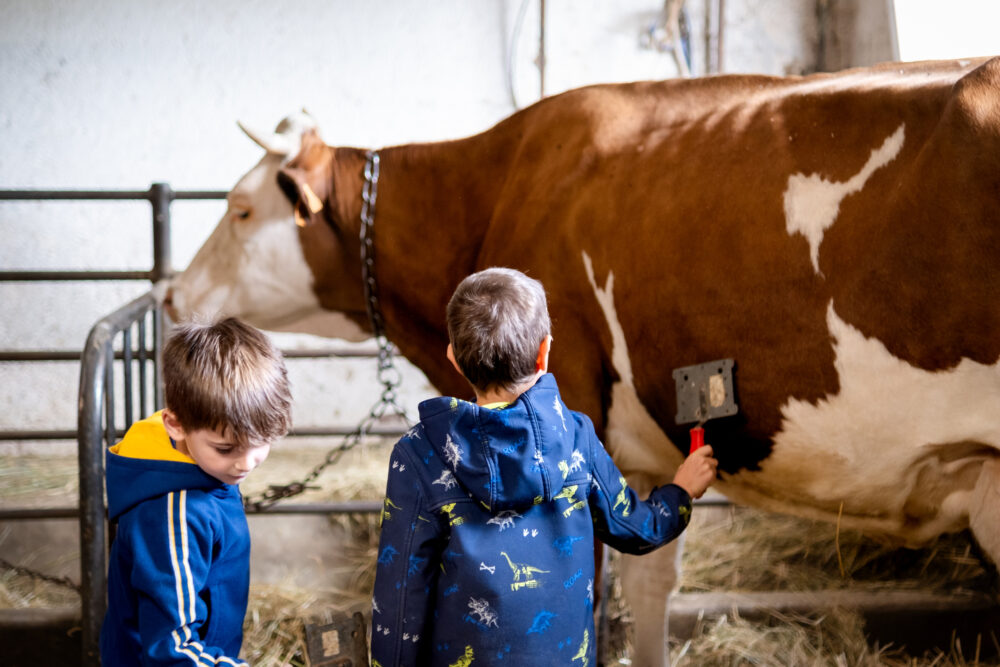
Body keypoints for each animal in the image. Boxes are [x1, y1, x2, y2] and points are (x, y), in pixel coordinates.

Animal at [166, 57, 1000, 666]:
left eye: (240, 209)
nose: (172, 294)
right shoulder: (641, 454)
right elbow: (651, 574)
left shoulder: (577, 408)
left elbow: (597, 594)